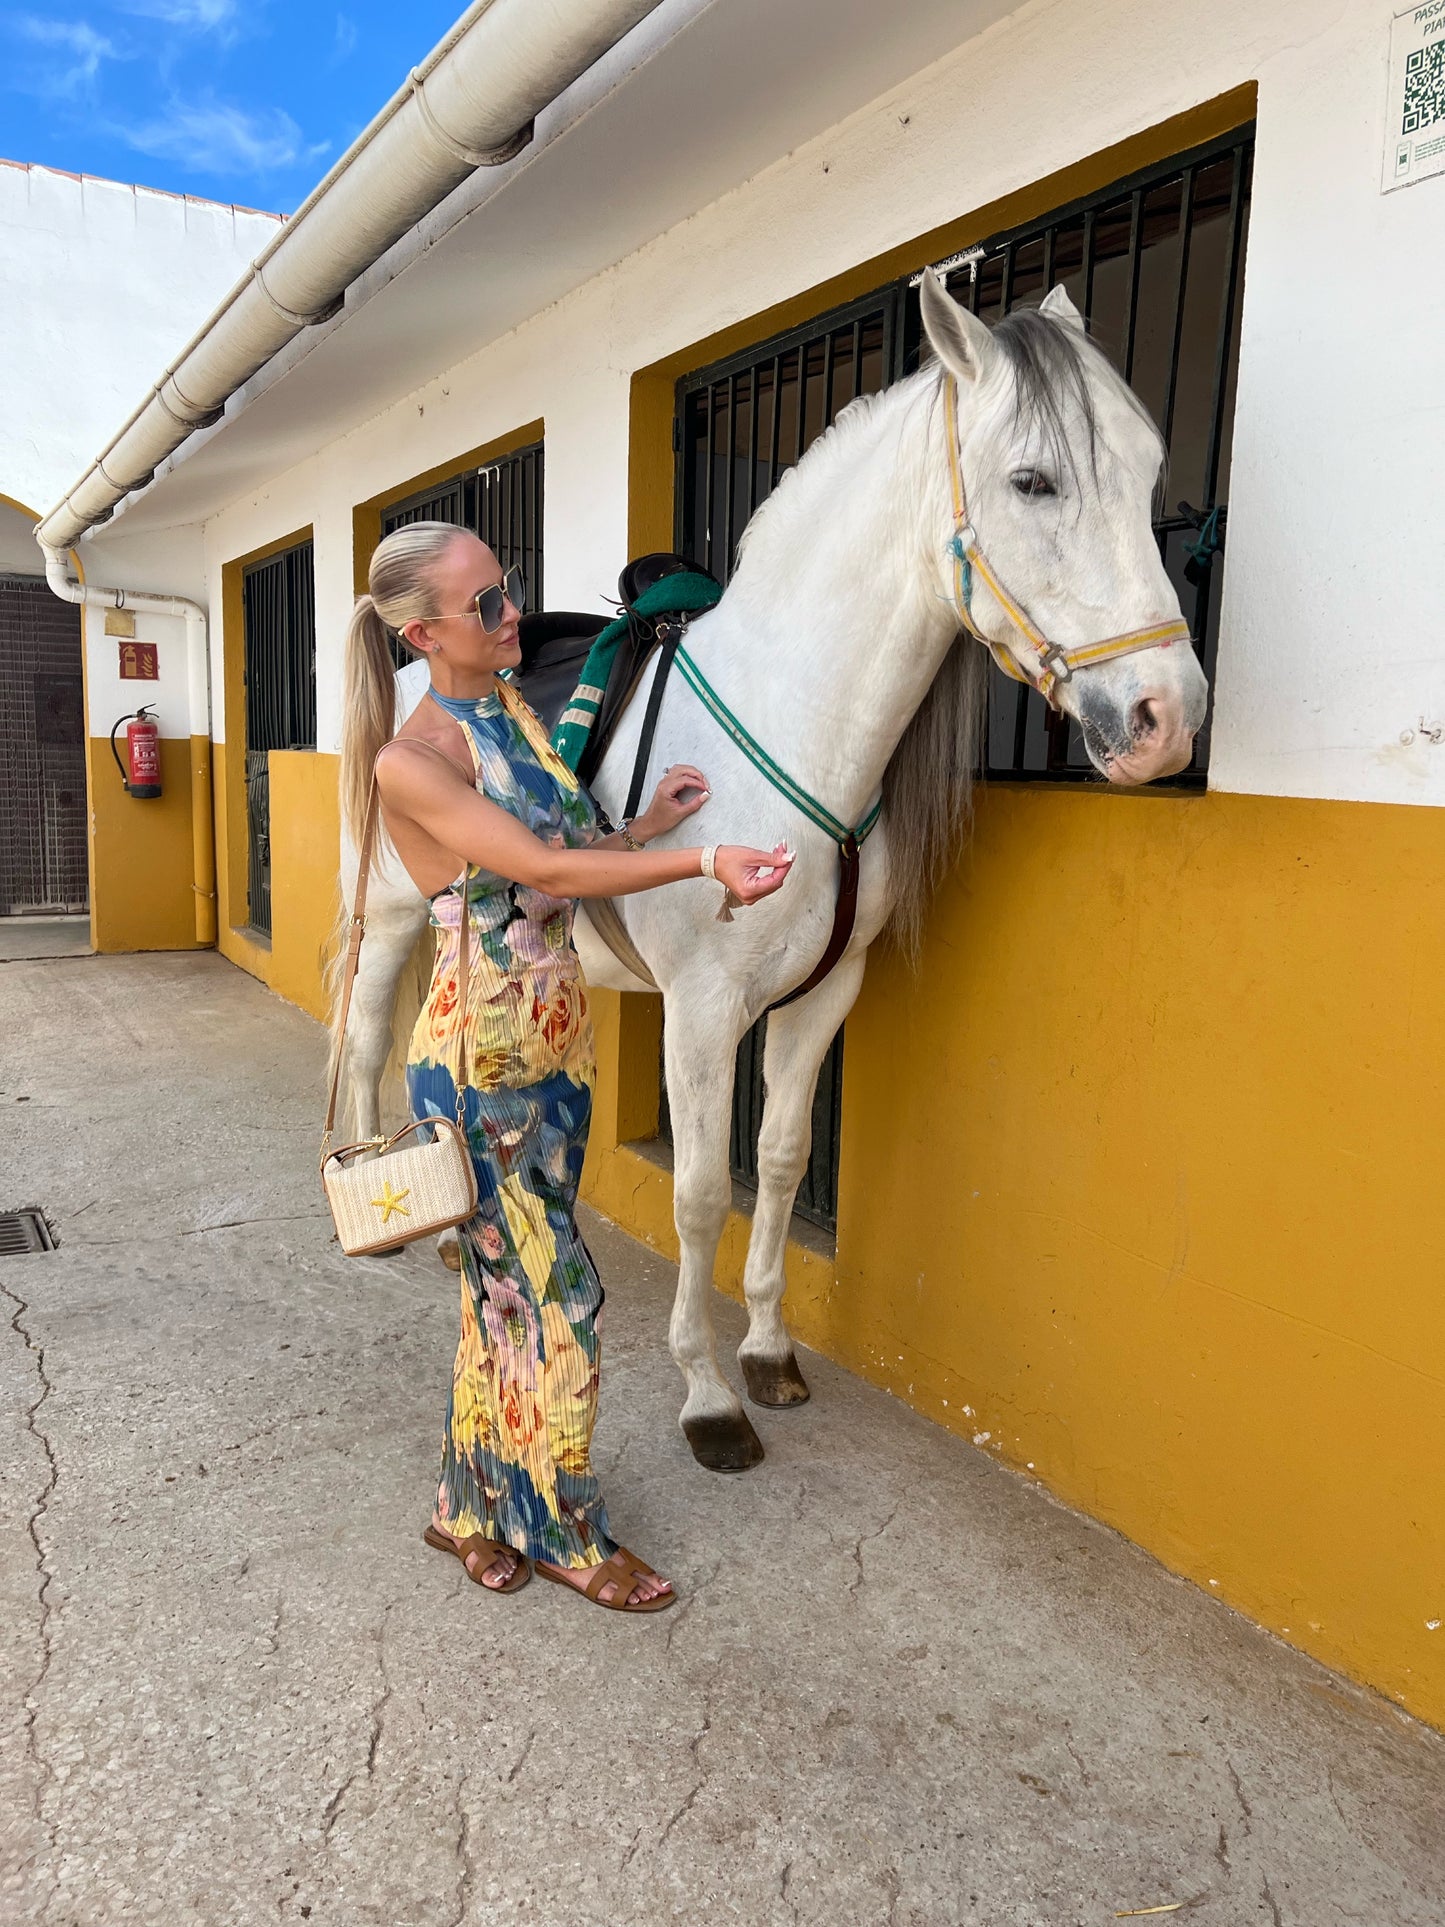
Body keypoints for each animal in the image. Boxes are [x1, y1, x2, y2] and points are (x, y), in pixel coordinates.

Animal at [337, 275, 1209, 1472]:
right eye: (1033, 479)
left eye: (1150, 463)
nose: (1165, 717)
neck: (799, 726)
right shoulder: (707, 1011)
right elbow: (704, 1192)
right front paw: (707, 1396)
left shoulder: (823, 995)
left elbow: (784, 1161)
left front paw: (766, 1353)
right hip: (387, 912)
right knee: (373, 1034)